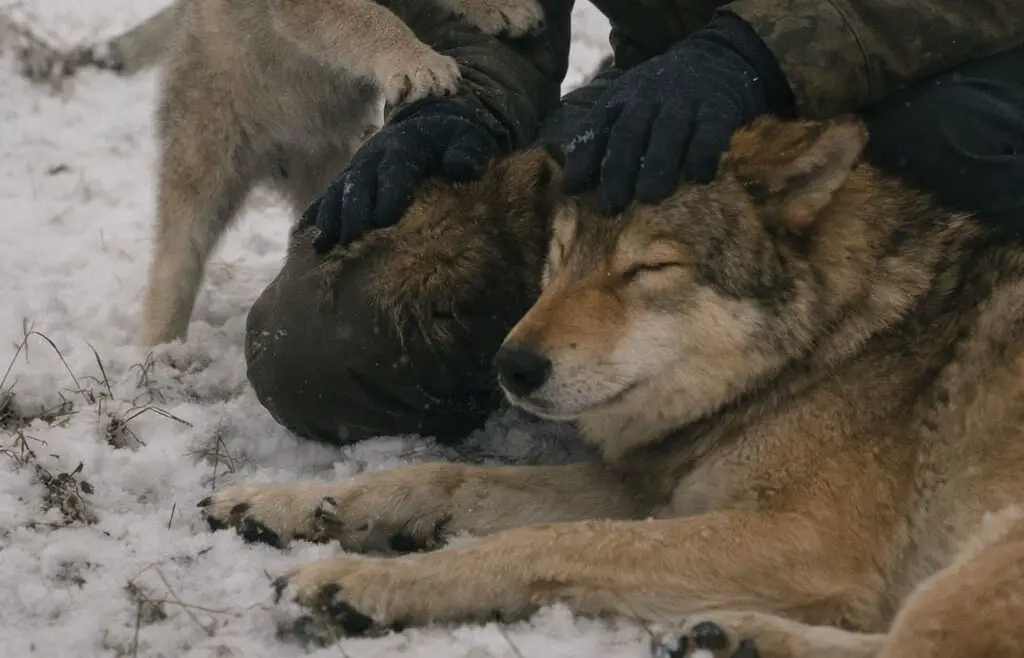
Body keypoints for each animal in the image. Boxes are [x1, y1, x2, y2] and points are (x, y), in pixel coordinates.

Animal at [26, 0, 545, 347]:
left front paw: (500, 6)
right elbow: (368, 18)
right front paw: (418, 62)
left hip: (330, 183)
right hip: (203, 170)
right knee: (174, 266)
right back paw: (160, 358)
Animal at [197, 115, 1024, 657]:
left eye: (648, 268)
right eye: (560, 254)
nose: (511, 366)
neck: (827, 346)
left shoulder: (806, 539)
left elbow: (540, 543)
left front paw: (354, 584)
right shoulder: (653, 491)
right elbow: (440, 477)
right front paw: (285, 504)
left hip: (981, 558)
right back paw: (726, 636)